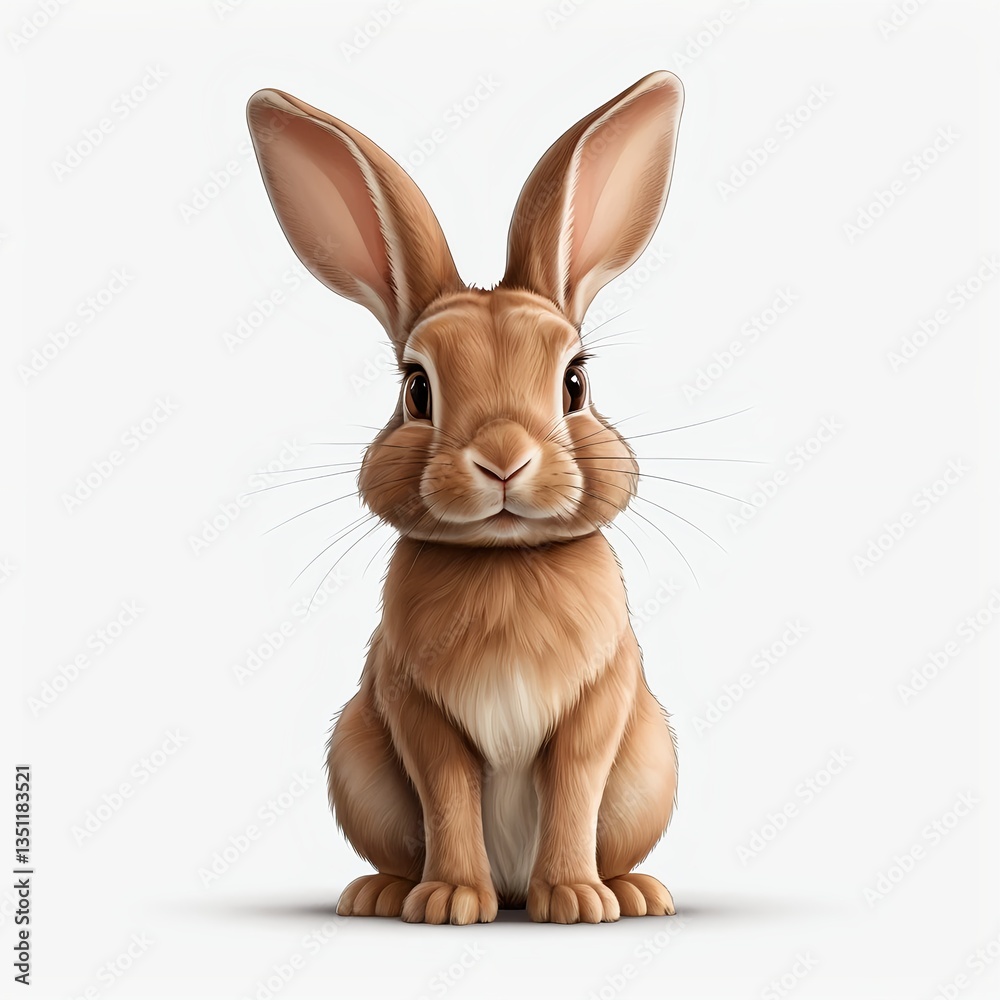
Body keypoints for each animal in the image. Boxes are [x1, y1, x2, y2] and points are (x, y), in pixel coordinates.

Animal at [246, 70, 684, 924]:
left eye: (576, 383)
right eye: (417, 390)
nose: (504, 459)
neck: (503, 560)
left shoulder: (598, 706)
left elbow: (573, 788)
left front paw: (574, 900)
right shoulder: (416, 708)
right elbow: (448, 794)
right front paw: (449, 900)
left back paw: (631, 891)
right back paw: (383, 893)